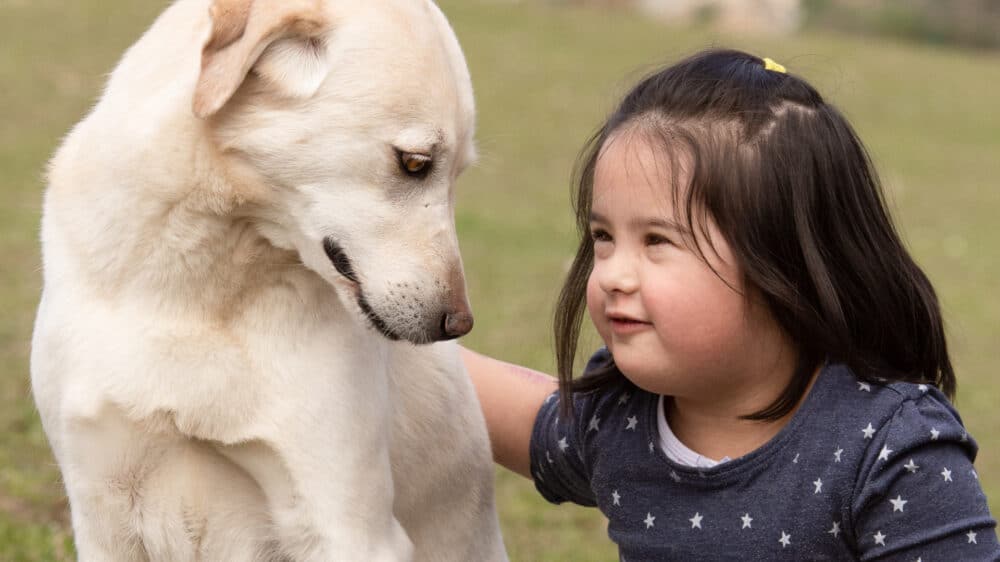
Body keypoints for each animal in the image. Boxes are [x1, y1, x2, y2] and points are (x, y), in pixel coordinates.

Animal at [31, 0, 508, 556]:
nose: (458, 324)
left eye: (457, 176)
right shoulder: (101, 509)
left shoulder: (348, 526)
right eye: (415, 163)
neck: (200, 297)